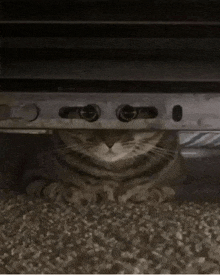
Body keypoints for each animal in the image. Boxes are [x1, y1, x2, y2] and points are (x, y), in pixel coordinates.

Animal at [0, 131, 186, 207]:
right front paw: (84, 194)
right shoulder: (33, 175)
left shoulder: (176, 181)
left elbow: (161, 190)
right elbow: (57, 188)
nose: (110, 141)